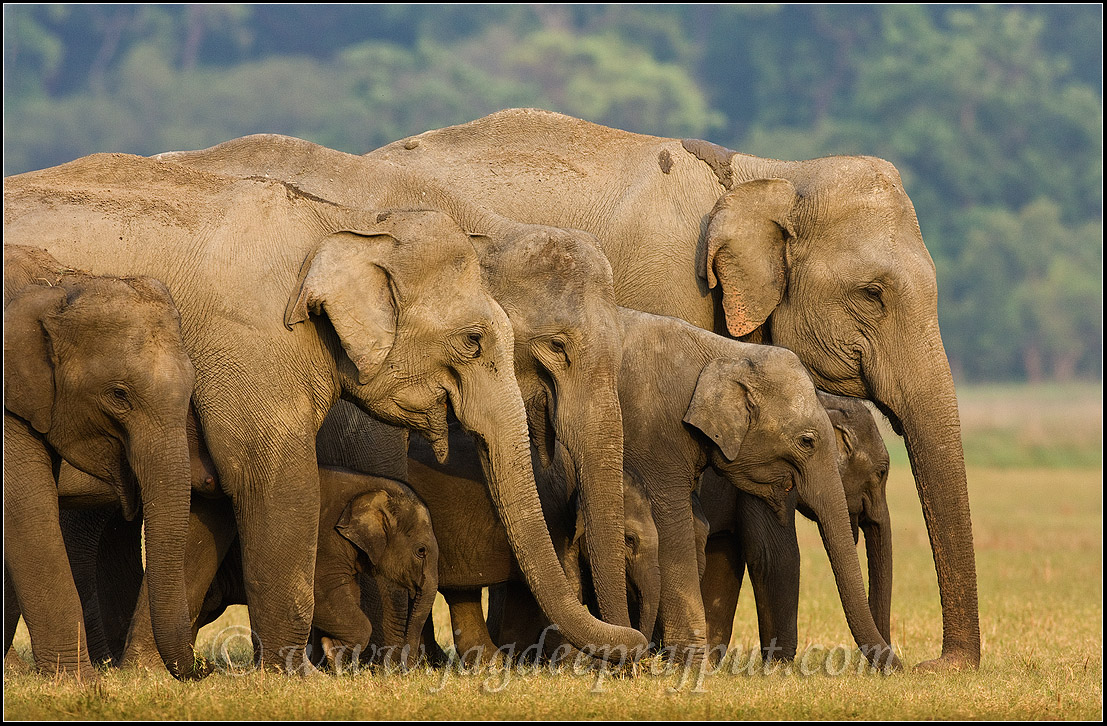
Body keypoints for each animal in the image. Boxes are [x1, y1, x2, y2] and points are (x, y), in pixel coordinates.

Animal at [699, 391, 892, 663]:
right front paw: (780, 666)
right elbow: (775, 555)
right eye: (881, 473)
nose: (900, 667)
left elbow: (725, 556)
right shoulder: (765, 471)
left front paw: (705, 663)